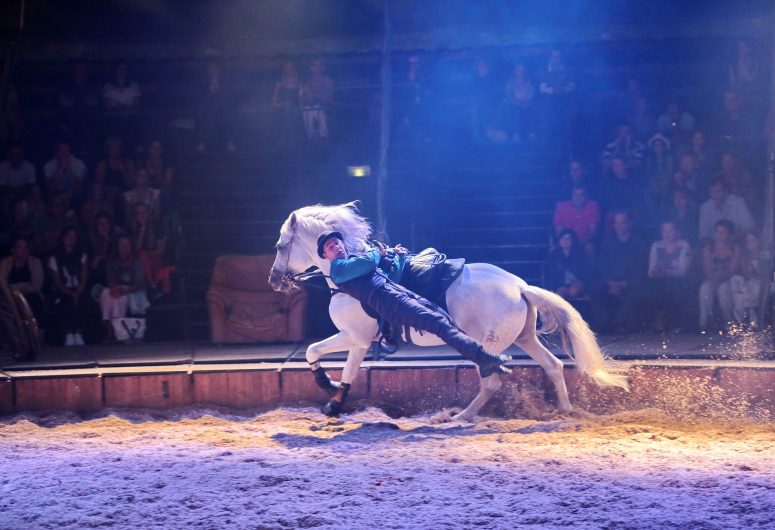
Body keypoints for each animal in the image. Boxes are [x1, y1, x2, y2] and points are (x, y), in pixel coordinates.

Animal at [270, 200, 628, 418]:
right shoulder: (357, 341)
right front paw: (331, 395)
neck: (347, 271)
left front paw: (329, 391)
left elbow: (326, 359)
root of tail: (520, 287)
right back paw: (565, 411)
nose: (274, 280)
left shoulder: (355, 338)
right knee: (553, 366)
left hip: (493, 342)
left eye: (281, 245)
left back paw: (461, 416)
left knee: (492, 381)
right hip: (525, 337)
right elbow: (333, 363)